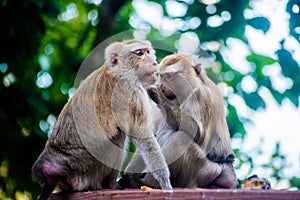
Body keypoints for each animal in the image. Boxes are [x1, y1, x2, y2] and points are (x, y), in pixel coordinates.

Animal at [31, 39, 172, 200]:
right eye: (139, 53)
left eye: (148, 51)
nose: (154, 61)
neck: (119, 72)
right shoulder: (133, 93)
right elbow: (145, 140)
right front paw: (165, 182)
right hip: (89, 170)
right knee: (118, 137)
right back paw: (110, 185)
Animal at [119, 53, 237, 189]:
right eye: (162, 76)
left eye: (170, 76)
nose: (162, 86)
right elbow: (147, 135)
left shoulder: (200, 95)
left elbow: (197, 132)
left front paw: (158, 95)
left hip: (205, 171)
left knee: (183, 137)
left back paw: (147, 183)